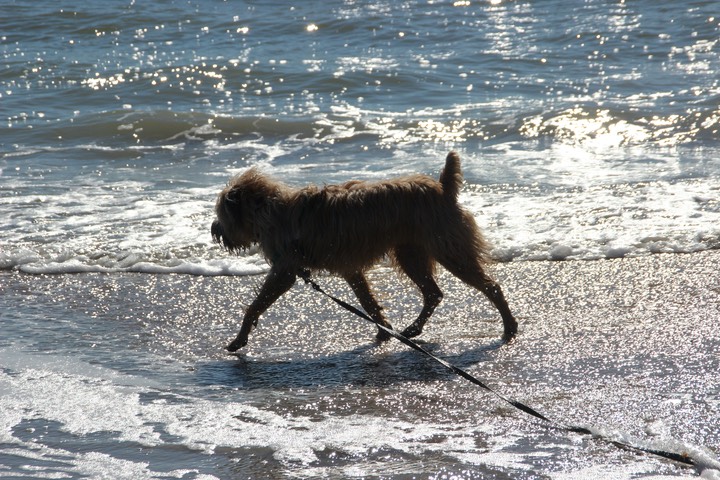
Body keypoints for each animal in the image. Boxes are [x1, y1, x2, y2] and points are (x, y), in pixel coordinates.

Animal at [211, 152, 516, 350]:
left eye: (221, 214)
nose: (214, 230)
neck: (270, 210)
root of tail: (442, 188)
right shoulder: (350, 269)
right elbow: (367, 301)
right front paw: (383, 330)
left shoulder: (285, 269)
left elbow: (256, 304)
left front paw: (239, 338)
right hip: (411, 252)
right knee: (433, 293)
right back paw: (413, 328)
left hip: (448, 249)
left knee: (490, 286)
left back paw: (509, 326)